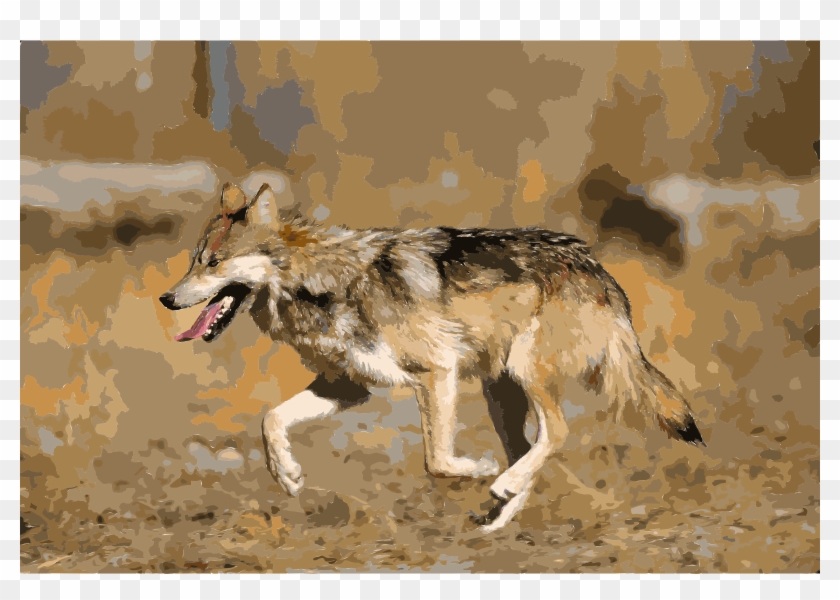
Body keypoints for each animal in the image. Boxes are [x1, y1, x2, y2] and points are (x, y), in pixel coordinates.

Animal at [159, 182, 705, 532]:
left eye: (213, 263)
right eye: (193, 262)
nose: (166, 298)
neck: (324, 284)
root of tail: (597, 268)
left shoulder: (433, 373)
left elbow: (437, 461)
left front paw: (478, 470)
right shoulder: (348, 387)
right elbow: (271, 419)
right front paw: (286, 474)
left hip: (523, 373)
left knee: (557, 433)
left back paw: (500, 485)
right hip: (499, 391)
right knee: (529, 447)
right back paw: (498, 514)